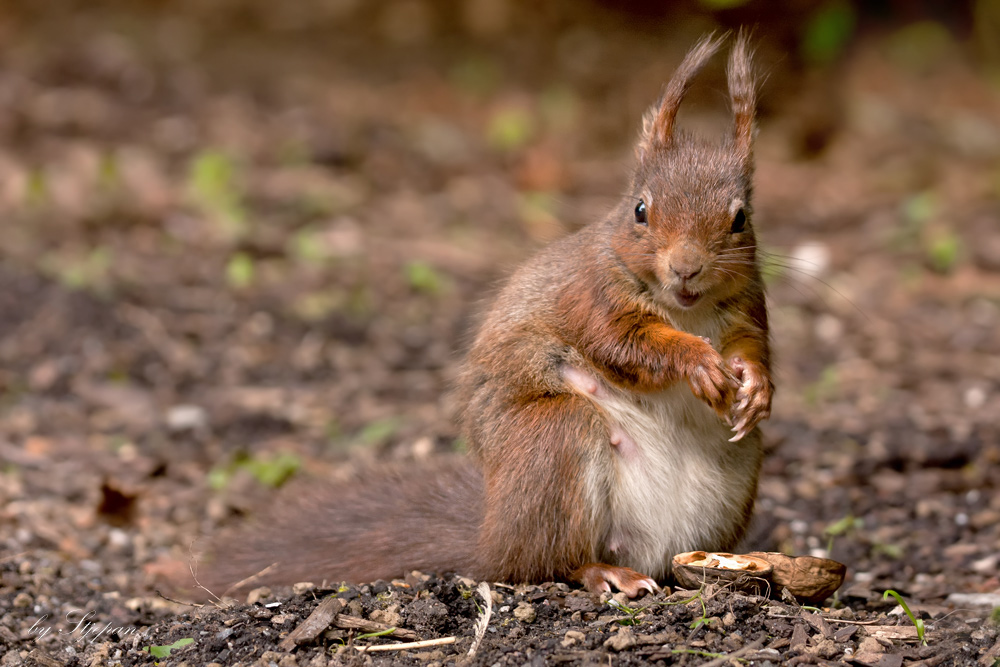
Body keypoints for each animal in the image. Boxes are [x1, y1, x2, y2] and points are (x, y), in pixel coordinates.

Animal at [199, 34, 768, 600]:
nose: (687, 268)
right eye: (640, 210)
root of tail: (490, 538)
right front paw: (698, 361)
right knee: (543, 562)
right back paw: (602, 572)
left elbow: (751, 346)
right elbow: (622, 343)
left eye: (741, 218)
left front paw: (757, 386)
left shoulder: (749, 306)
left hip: (736, 473)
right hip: (556, 441)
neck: (684, 310)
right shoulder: (591, 296)